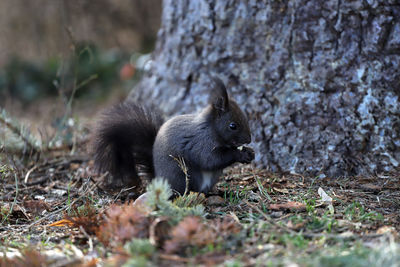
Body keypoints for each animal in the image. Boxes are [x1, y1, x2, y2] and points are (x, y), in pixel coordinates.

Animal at [91, 77, 253, 195]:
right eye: (233, 126)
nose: (249, 140)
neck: (211, 128)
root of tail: (160, 181)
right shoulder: (201, 142)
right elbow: (210, 159)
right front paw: (240, 154)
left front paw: (250, 153)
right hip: (182, 175)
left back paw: (217, 193)